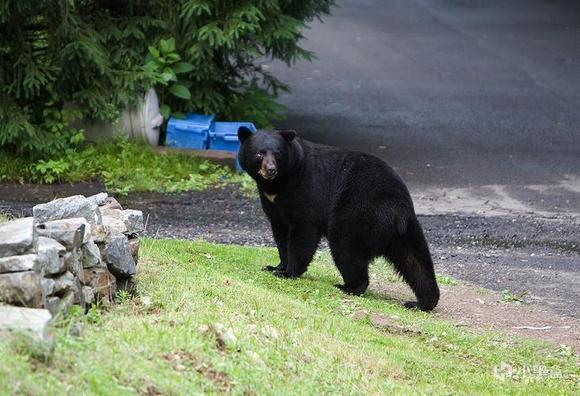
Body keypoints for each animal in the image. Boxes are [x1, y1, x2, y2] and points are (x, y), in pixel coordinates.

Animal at [237, 128, 440, 310]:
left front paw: (288, 272)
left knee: (345, 247)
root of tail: (396, 210)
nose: (270, 170)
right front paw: (276, 266)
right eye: (259, 153)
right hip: (406, 229)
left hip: (356, 212)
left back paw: (348, 286)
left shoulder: (306, 190)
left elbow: (303, 231)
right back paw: (422, 302)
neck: (279, 185)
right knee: (414, 260)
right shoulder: (274, 206)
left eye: (277, 154)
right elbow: (280, 233)